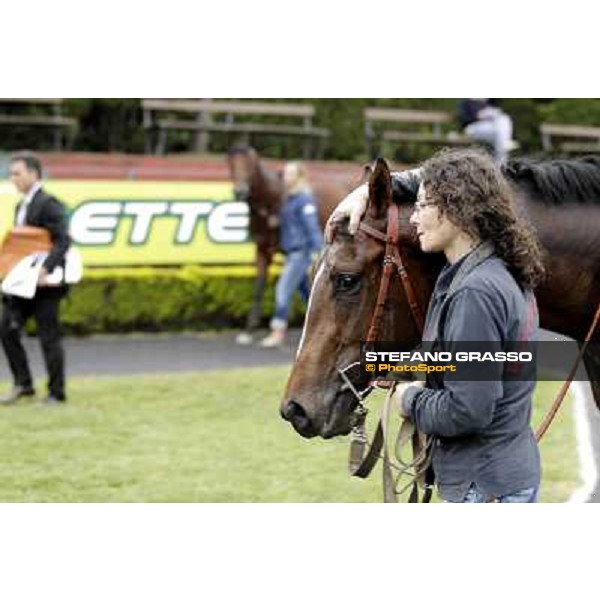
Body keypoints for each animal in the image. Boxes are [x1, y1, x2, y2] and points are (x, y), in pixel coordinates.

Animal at [226, 146, 356, 342]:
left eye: (250, 166)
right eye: (232, 165)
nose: (240, 191)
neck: (272, 201)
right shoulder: (263, 249)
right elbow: (260, 286)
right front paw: (249, 330)